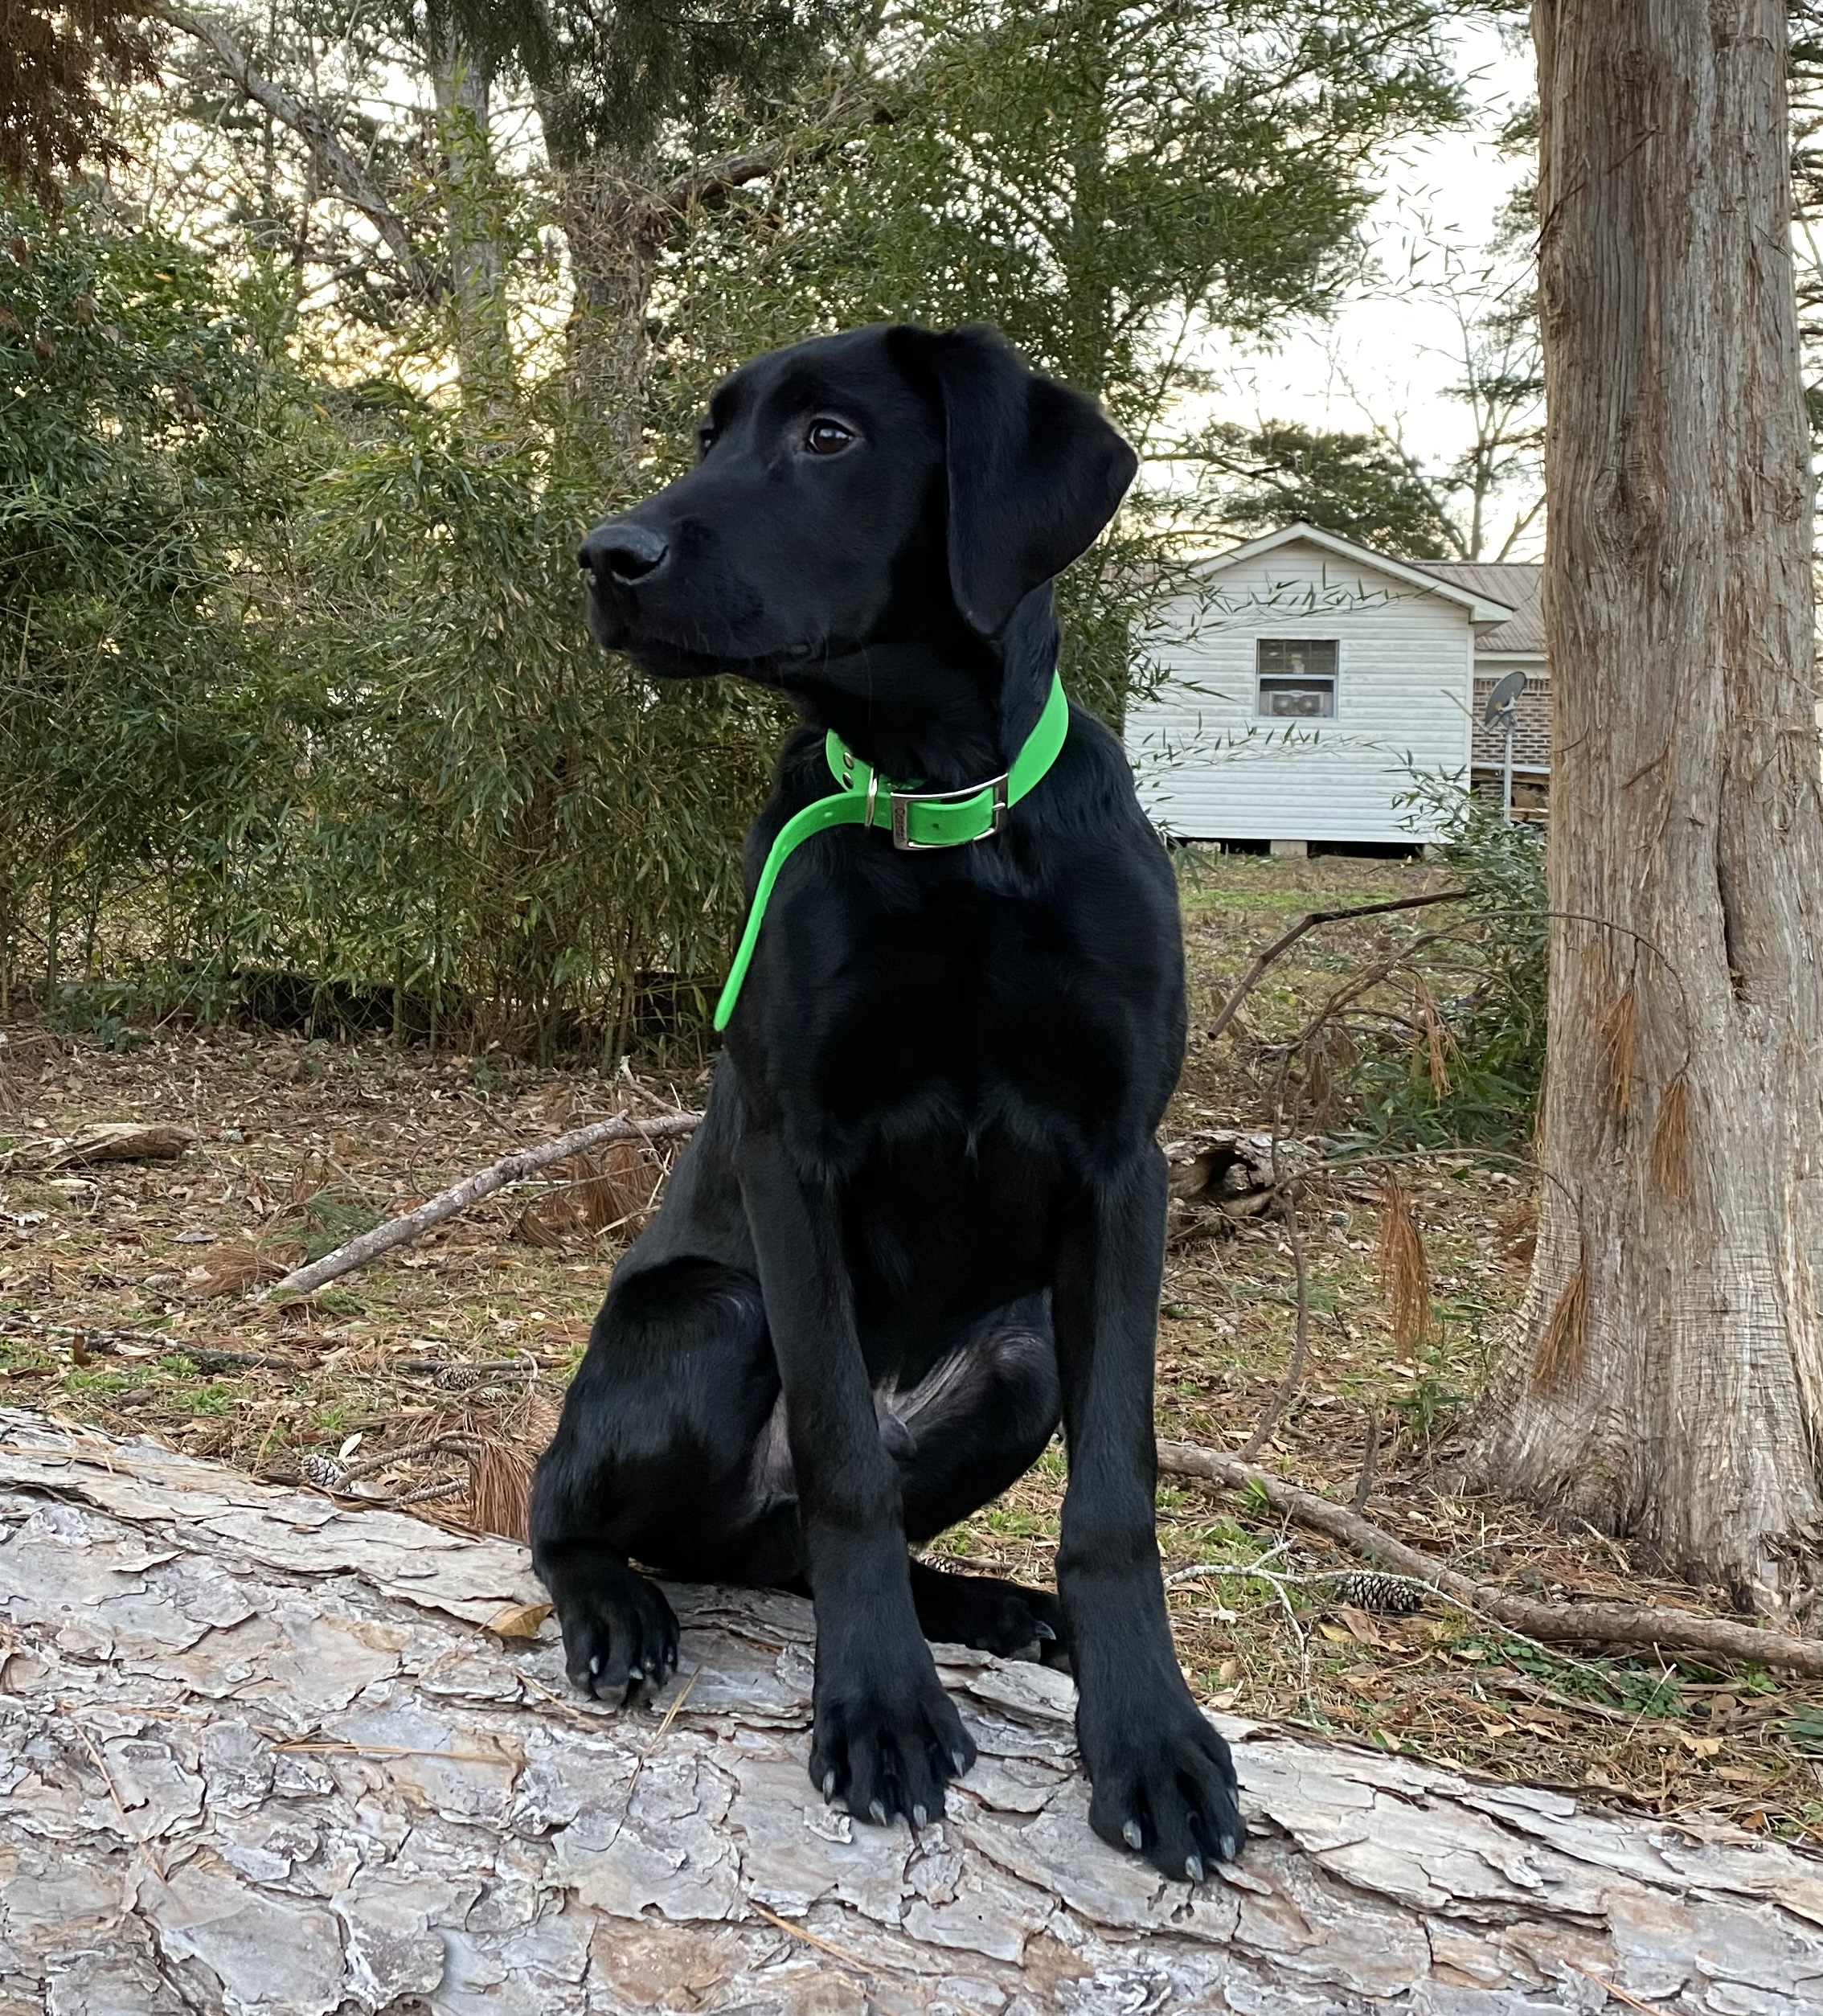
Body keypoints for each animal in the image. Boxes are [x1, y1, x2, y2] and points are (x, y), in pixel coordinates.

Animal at [528, 322, 1242, 1879]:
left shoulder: (1124, 1168)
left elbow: (1115, 1492)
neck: (941, 811)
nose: (604, 555)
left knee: (785, 1547)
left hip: (1017, 1358)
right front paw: (876, 1709)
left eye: (828, 438)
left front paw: (1148, 1732)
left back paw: (988, 1606)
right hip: (709, 1316)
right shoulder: (791, 1157)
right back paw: (616, 1605)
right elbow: (848, 1460)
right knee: (578, 1504)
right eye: (711, 433)